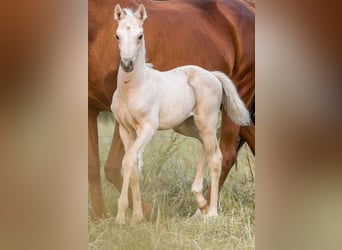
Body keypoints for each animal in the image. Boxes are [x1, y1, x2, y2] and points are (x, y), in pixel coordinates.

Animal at [88, 0, 254, 219]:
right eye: (116, 35)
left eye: (140, 36)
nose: (127, 64)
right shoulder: (102, 115)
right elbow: (102, 165)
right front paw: (108, 218)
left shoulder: (140, 127)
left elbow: (122, 163)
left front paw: (137, 213)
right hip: (192, 123)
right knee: (214, 146)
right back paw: (201, 205)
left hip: (229, 105)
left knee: (222, 155)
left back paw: (208, 213)